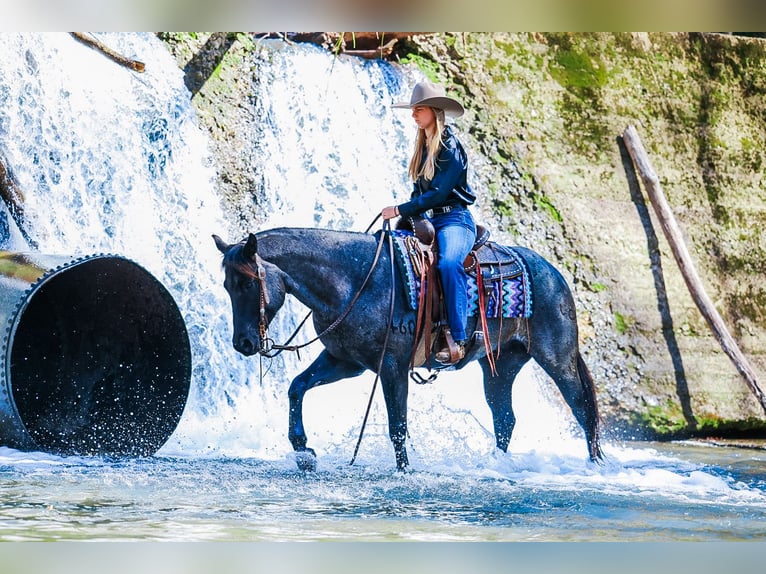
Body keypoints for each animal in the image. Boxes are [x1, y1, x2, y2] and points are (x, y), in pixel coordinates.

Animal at [213, 227, 602, 471]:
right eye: (227, 286)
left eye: (247, 284)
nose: (243, 343)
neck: (356, 279)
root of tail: (553, 272)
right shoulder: (344, 361)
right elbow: (297, 387)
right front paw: (303, 450)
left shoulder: (392, 366)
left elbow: (396, 425)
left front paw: (404, 471)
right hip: (501, 365)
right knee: (504, 417)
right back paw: (495, 465)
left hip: (557, 358)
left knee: (582, 407)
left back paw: (595, 463)